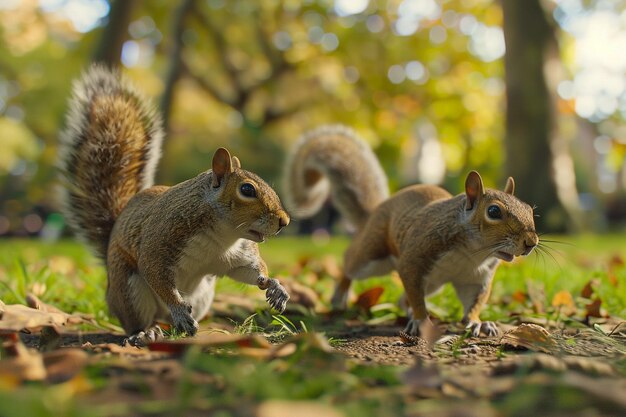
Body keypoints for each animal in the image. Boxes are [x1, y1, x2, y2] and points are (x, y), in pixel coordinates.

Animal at [57, 65, 288, 344]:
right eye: (247, 189)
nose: (284, 221)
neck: (222, 236)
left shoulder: (237, 256)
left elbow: (249, 271)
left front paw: (274, 285)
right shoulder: (160, 242)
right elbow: (156, 275)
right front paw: (178, 309)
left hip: (203, 294)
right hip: (129, 289)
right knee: (139, 320)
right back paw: (147, 332)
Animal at [282, 125, 536, 336]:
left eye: (528, 209)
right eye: (493, 211)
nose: (531, 243)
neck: (472, 253)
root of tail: (375, 212)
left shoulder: (475, 277)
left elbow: (474, 301)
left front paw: (477, 322)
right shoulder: (416, 257)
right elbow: (414, 289)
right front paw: (422, 320)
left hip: (433, 283)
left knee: (403, 301)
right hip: (371, 256)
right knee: (350, 265)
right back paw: (341, 296)